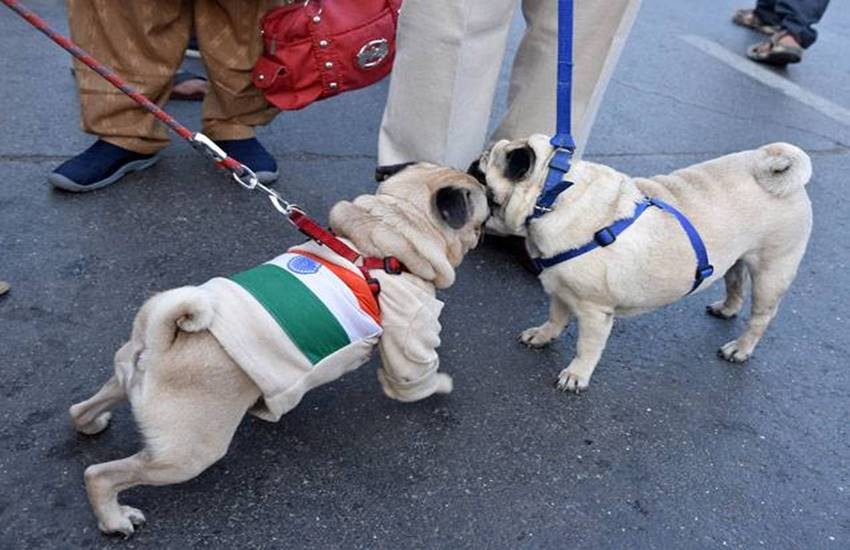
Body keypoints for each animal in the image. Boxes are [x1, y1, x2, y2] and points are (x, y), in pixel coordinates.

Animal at [68, 163, 488, 537]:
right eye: (483, 220)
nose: (486, 232)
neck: (383, 237)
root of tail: (160, 344)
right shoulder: (411, 335)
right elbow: (415, 378)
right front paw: (441, 385)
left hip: (125, 381)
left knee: (83, 409)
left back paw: (91, 424)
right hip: (188, 453)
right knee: (101, 475)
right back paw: (114, 519)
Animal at [475, 134, 812, 392]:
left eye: (482, 171)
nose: (475, 159)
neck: (555, 194)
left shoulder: (595, 310)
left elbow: (588, 347)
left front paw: (576, 375)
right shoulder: (561, 289)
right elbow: (556, 317)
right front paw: (543, 336)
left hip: (771, 271)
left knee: (761, 318)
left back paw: (740, 349)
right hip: (737, 259)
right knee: (735, 283)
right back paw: (726, 309)